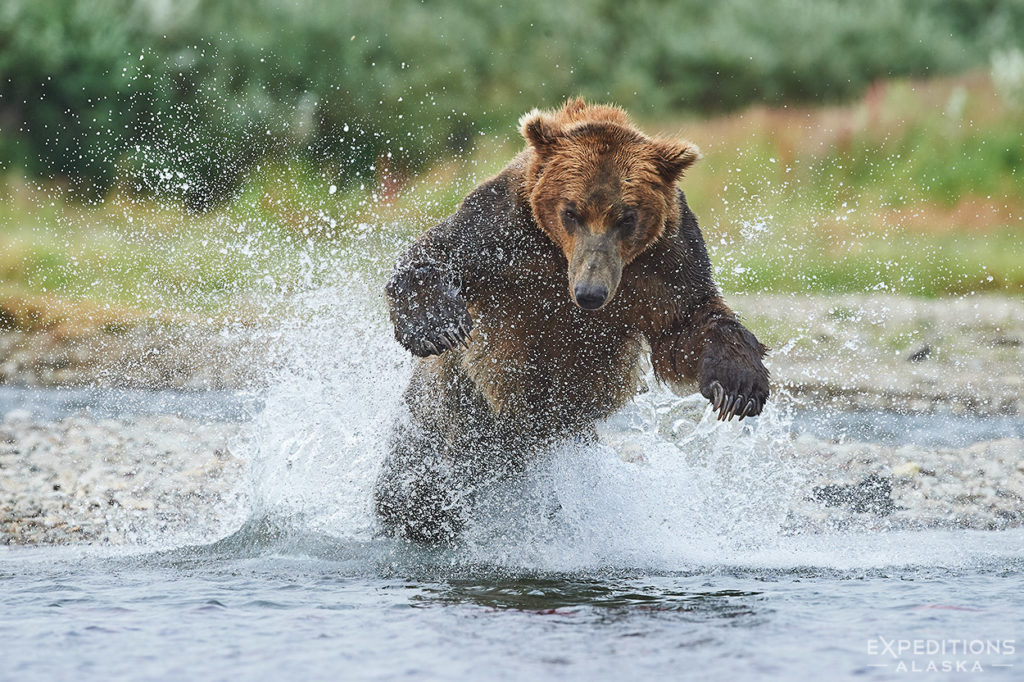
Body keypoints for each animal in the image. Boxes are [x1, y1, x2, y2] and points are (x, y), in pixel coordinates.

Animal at [376, 98, 770, 540]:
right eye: (571, 212)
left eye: (626, 217)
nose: (589, 293)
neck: (559, 256)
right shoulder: (501, 231)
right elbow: (438, 253)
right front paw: (436, 327)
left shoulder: (665, 265)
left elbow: (691, 323)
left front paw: (738, 387)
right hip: (443, 414)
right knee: (413, 484)